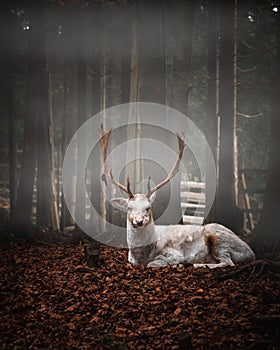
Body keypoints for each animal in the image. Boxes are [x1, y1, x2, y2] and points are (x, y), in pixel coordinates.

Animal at [99, 125, 256, 268]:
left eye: (148, 207)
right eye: (129, 208)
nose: (139, 221)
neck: (142, 256)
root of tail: (251, 252)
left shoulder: (175, 253)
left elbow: (154, 263)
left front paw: (176, 264)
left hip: (220, 241)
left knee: (228, 263)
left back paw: (199, 265)